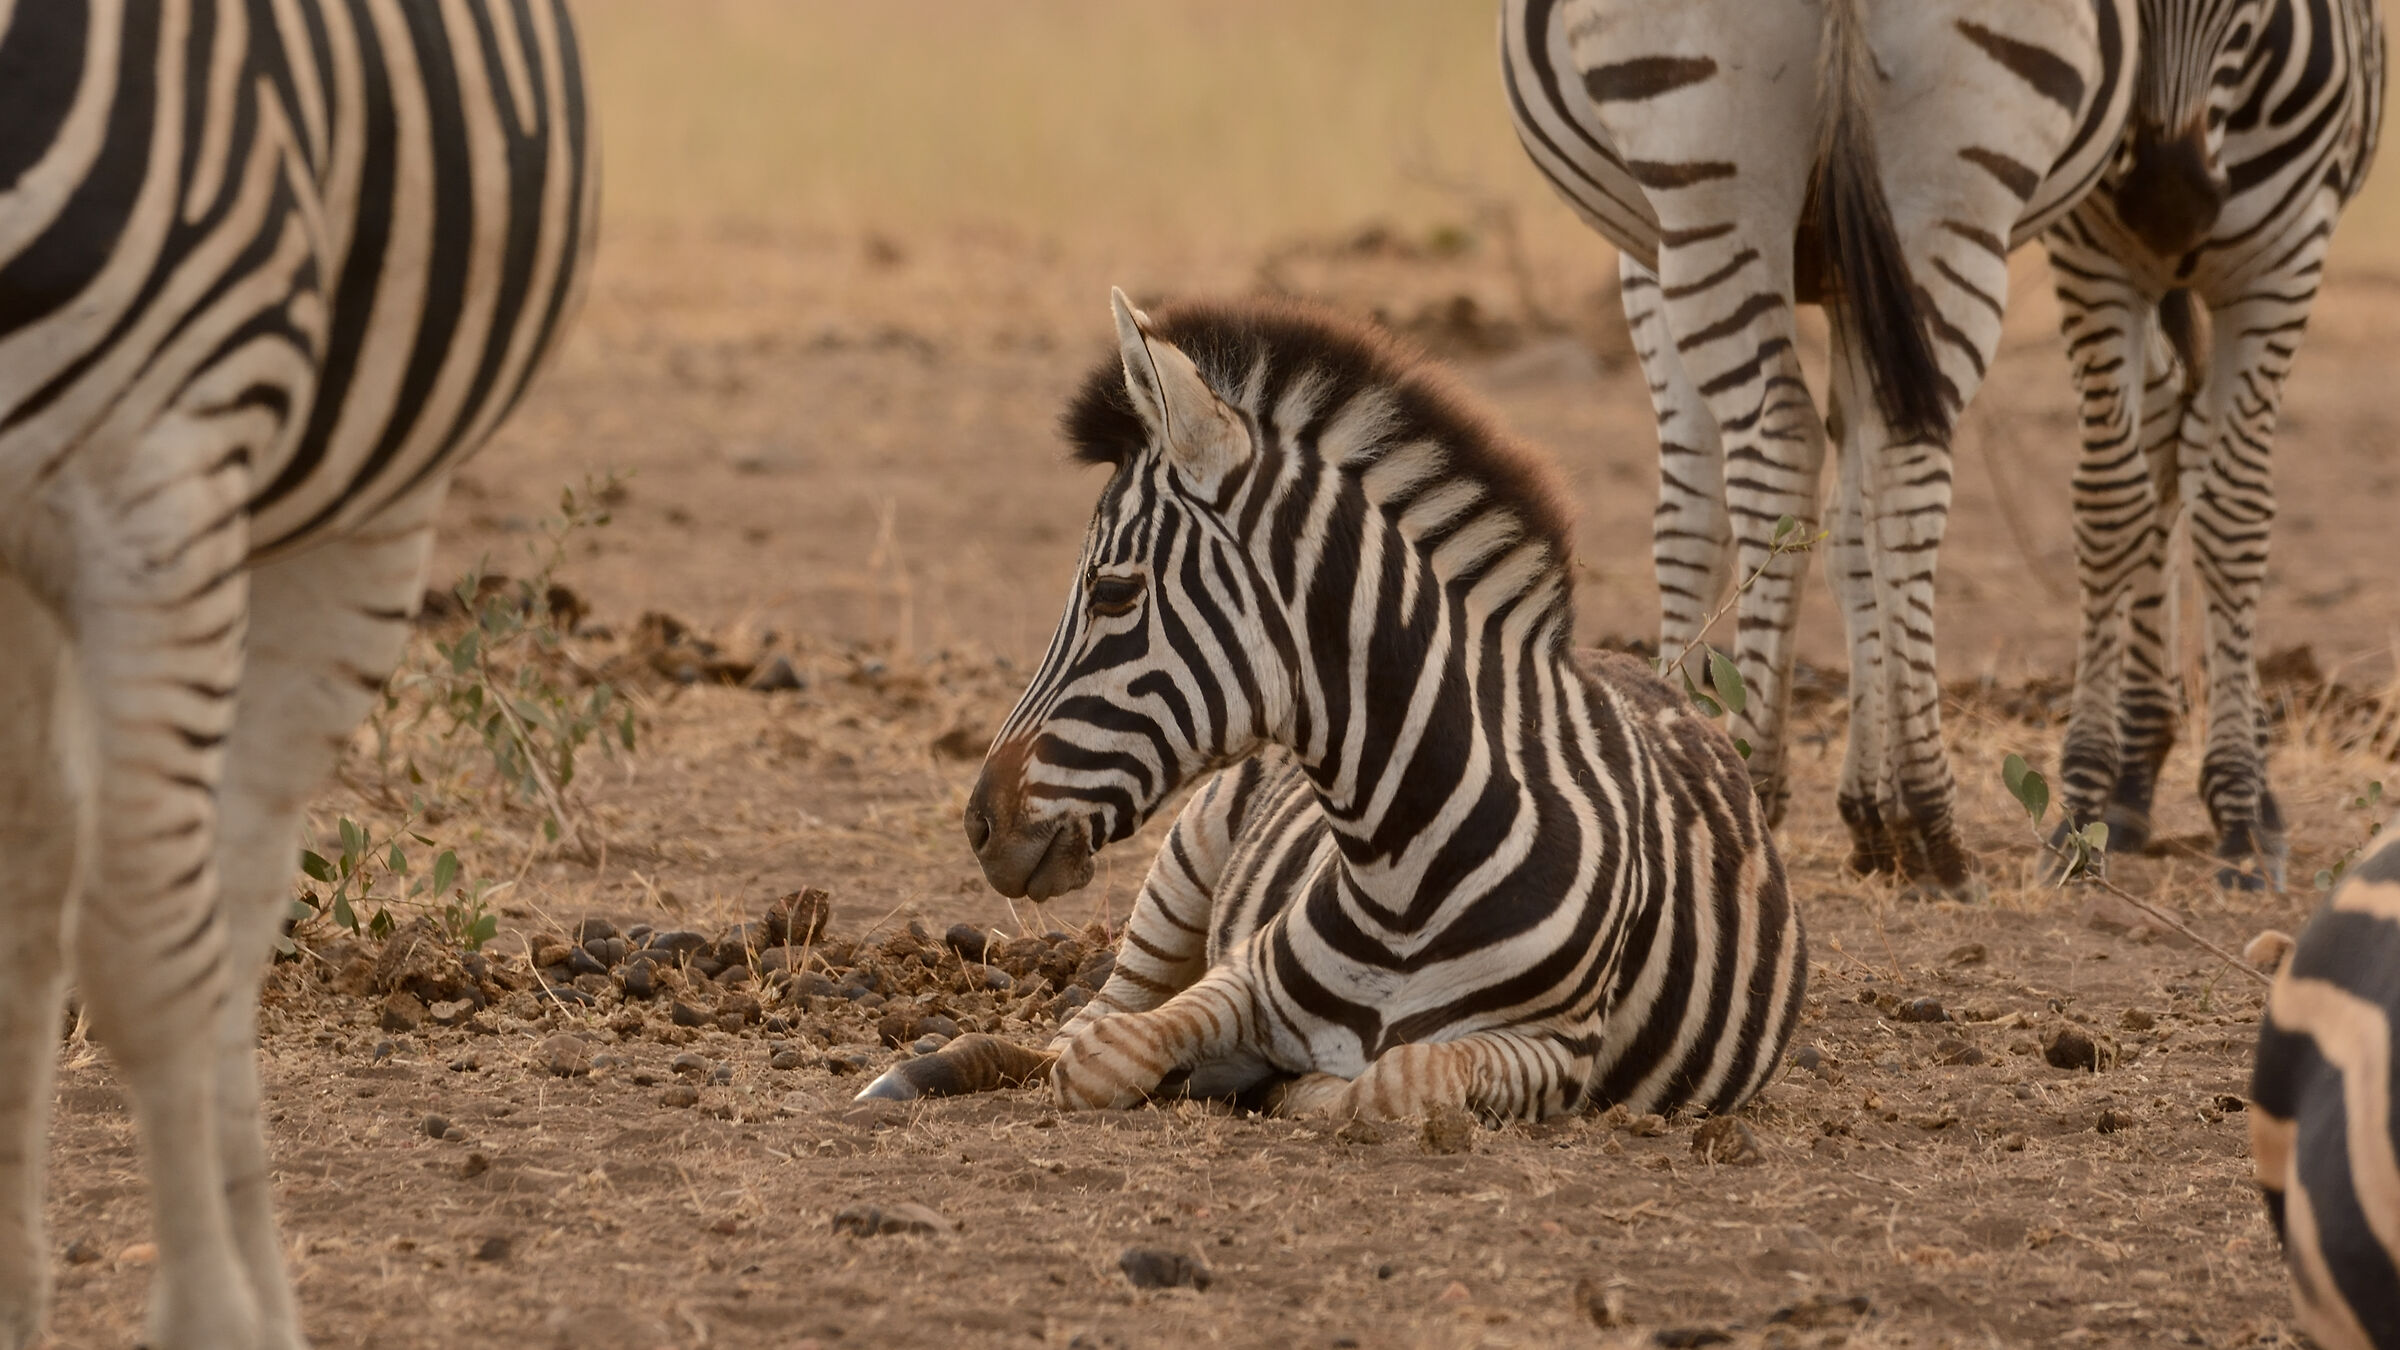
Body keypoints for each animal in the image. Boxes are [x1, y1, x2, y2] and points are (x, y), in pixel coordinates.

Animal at [859, 291, 1807, 1123]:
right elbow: (1101, 1058)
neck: (1403, 873)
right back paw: (918, 1072)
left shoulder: (1555, 1053)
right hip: (1186, 862)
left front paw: (1278, 1086)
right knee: (1076, 1030)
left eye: (1114, 592)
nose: (979, 823)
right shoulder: (1242, 978)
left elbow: (1395, 1082)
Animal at [1501, 0, 2136, 889]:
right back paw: (1934, 815)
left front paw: (1667, 720)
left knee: (1779, 440)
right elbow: (1854, 532)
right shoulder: (1853, 275)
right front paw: (1879, 810)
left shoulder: (1644, 253)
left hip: (1702, 173)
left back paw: (1752, 776)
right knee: (1906, 460)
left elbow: (1690, 522)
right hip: (1959, 193)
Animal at [2045, 0, 2383, 889]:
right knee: (2161, 439)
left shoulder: (2283, 263)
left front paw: (2238, 807)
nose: (2168, 204)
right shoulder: (2092, 255)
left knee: (2189, 453)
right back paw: (2133, 771)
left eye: (2253, 4)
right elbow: (2111, 507)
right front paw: (2082, 801)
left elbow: (2232, 516)